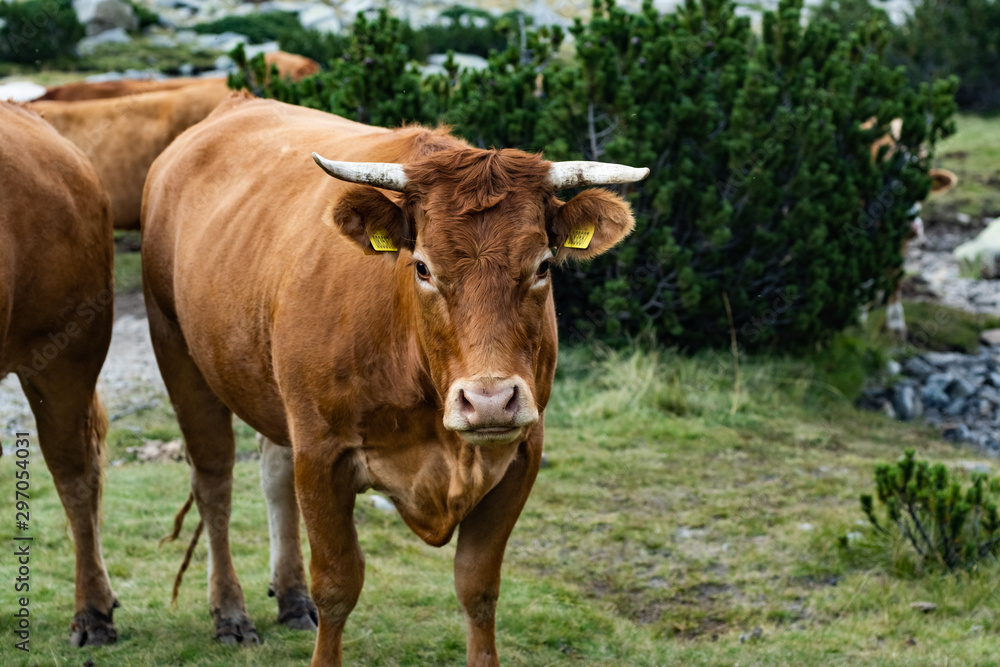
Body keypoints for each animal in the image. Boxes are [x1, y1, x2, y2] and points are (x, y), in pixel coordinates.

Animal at [139, 92, 648, 664]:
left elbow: (478, 587)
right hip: (178, 351)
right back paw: (229, 611)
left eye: (542, 265)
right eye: (422, 267)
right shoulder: (321, 454)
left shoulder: (521, 454)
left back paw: (290, 599)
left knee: (272, 473)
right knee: (215, 484)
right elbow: (337, 585)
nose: (489, 401)